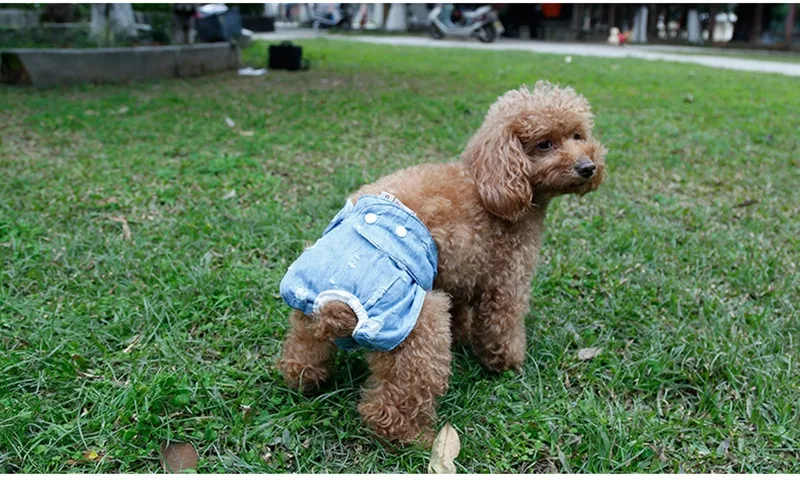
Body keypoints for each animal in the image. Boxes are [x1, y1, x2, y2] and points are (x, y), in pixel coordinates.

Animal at [277, 81, 607, 445]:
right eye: (544, 144)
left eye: (578, 135)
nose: (588, 167)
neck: (489, 181)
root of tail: (335, 306)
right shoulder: (507, 278)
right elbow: (502, 324)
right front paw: (507, 363)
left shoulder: (457, 275)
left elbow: (462, 310)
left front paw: (464, 336)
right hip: (418, 325)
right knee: (393, 400)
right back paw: (415, 438)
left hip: (306, 309)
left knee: (301, 353)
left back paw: (308, 381)